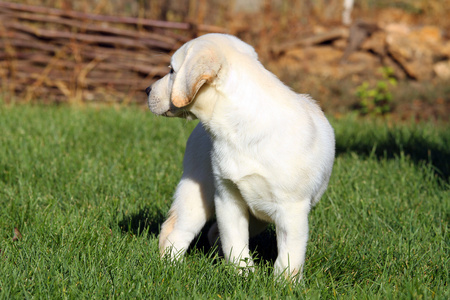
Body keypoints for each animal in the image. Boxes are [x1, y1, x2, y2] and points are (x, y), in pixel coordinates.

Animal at [146, 33, 336, 282]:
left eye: (171, 71)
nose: (146, 90)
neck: (238, 127)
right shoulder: (227, 198)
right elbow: (234, 242)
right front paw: (243, 275)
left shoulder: (292, 209)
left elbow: (289, 256)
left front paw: (284, 284)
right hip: (198, 193)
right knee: (175, 230)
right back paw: (170, 268)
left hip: (256, 219)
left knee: (210, 233)